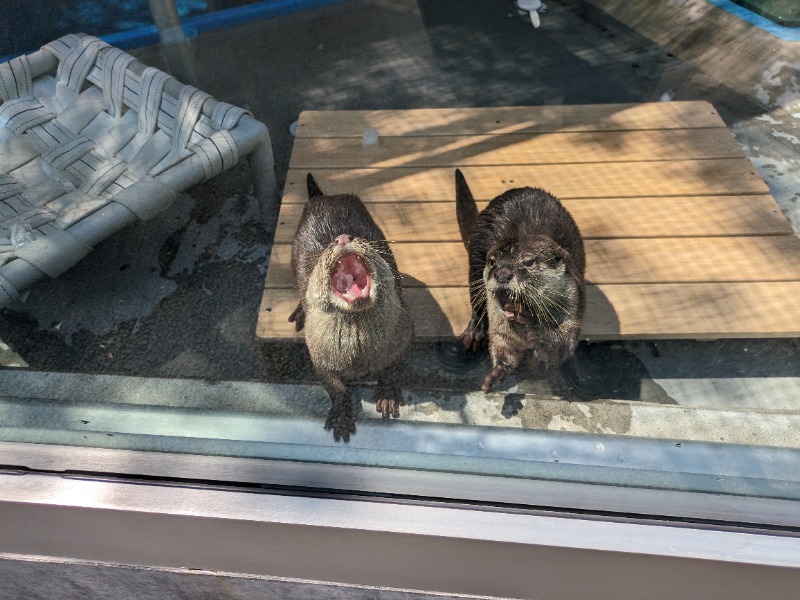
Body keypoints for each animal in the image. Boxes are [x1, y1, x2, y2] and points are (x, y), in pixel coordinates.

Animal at [288, 173, 412, 440]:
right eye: (328, 246)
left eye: (358, 238)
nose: (343, 237)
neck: (359, 355)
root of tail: (326, 197)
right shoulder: (318, 354)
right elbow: (335, 388)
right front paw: (343, 417)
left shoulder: (402, 334)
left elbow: (391, 367)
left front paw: (387, 394)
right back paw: (299, 313)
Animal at [456, 169, 588, 394]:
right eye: (493, 261)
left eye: (528, 262)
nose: (502, 274)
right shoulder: (500, 327)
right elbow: (503, 347)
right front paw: (496, 373)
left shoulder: (573, 305)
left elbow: (561, 347)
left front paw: (529, 319)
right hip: (474, 263)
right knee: (476, 302)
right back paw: (473, 334)